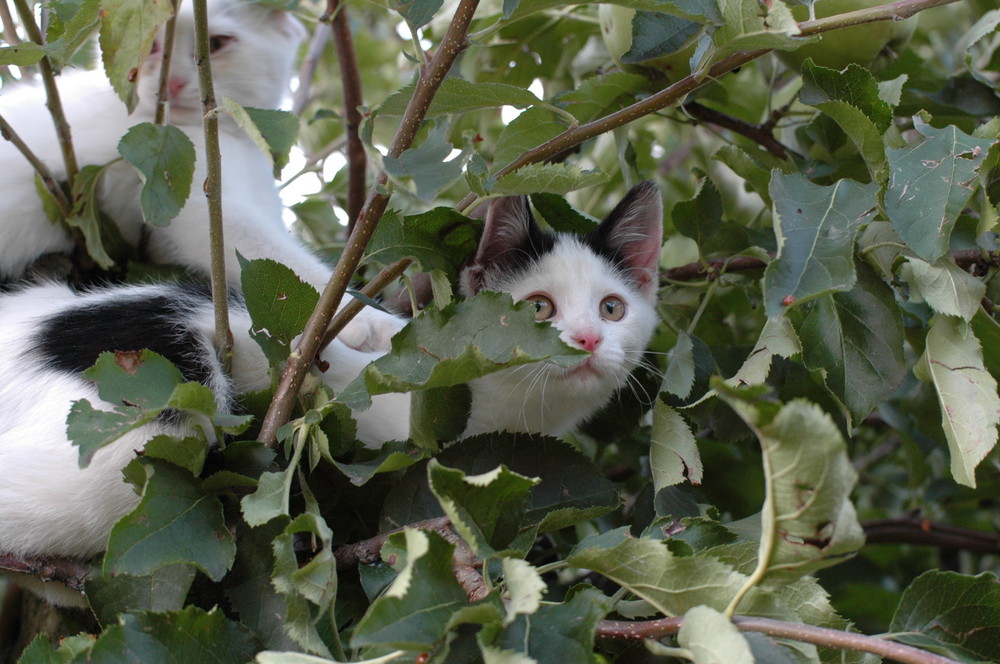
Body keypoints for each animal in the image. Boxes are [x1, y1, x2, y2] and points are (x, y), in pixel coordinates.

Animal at [0, 0, 398, 352]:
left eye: (216, 44)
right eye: (151, 45)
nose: (173, 83)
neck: (236, 138)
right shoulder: (200, 207)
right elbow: (286, 261)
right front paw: (370, 321)